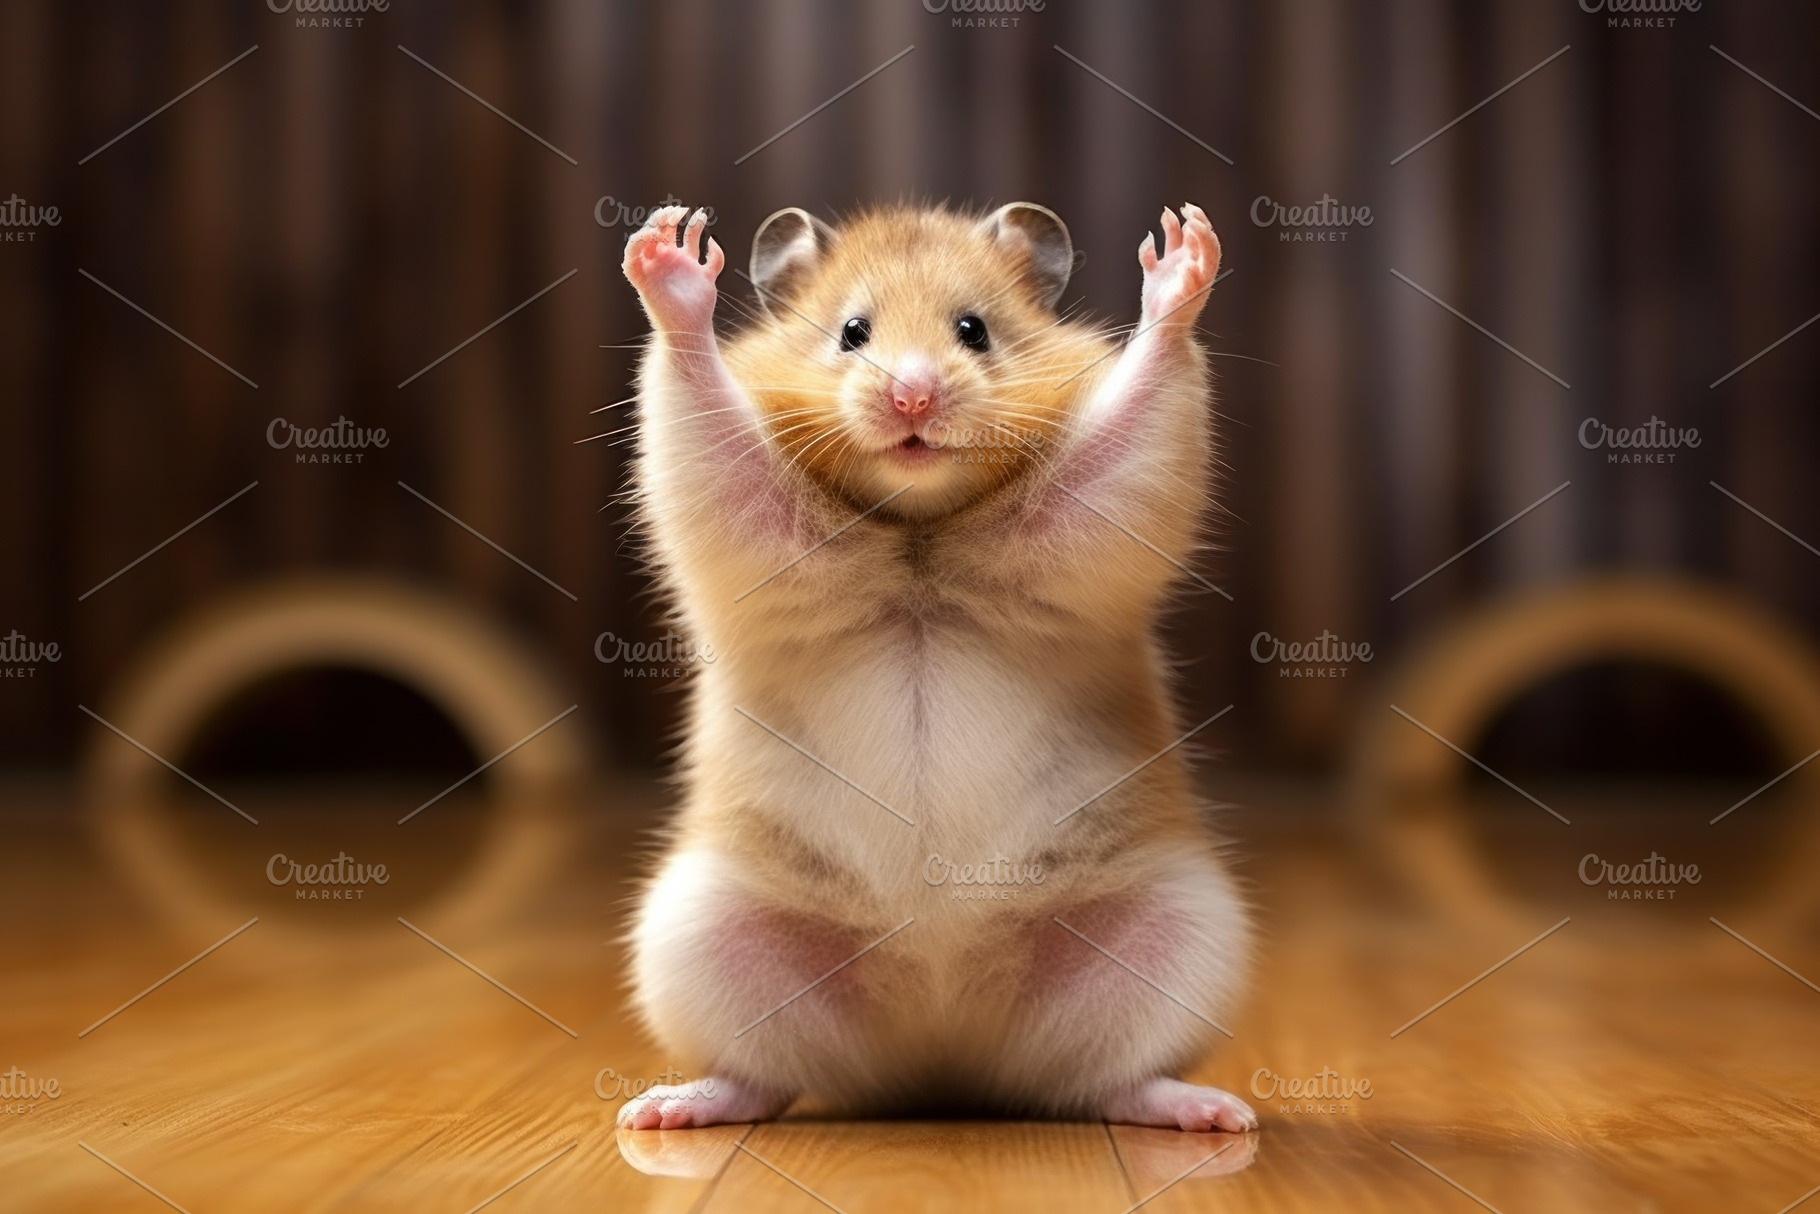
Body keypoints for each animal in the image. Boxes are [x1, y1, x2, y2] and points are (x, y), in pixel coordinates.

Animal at [616, 200, 1254, 1134]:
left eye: (973, 330)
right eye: (851, 332)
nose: (912, 395)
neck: (919, 528)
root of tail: (938, 1049)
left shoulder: (1093, 513)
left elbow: (1145, 398)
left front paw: (1184, 243)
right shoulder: (751, 521)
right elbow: (703, 404)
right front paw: (670, 245)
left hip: (1183, 935)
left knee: (1110, 1079)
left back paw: (1214, 1114)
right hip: (697, 938)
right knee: (764, 1075)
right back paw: (664, 1111)